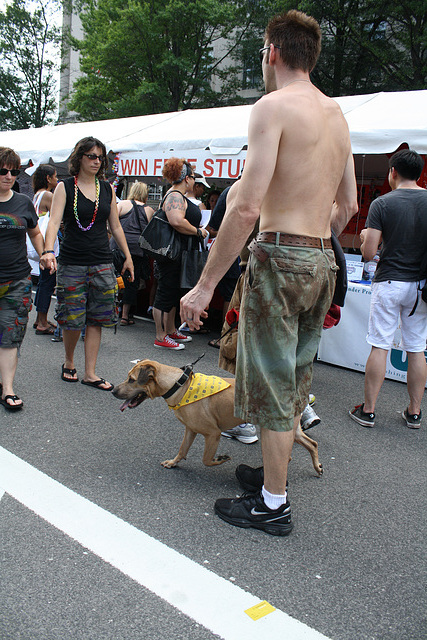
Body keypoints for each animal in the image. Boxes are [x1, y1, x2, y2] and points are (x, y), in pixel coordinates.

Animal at [112, 360, 322, 476]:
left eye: (131, 380)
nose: (113, 390)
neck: (180, 386)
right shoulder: (190, 430)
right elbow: (182, 450)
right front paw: (173, 462)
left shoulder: (212, 434)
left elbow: (206, 459)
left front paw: (220, 459)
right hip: (291, 430)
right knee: (311, 444)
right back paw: (317, 466)